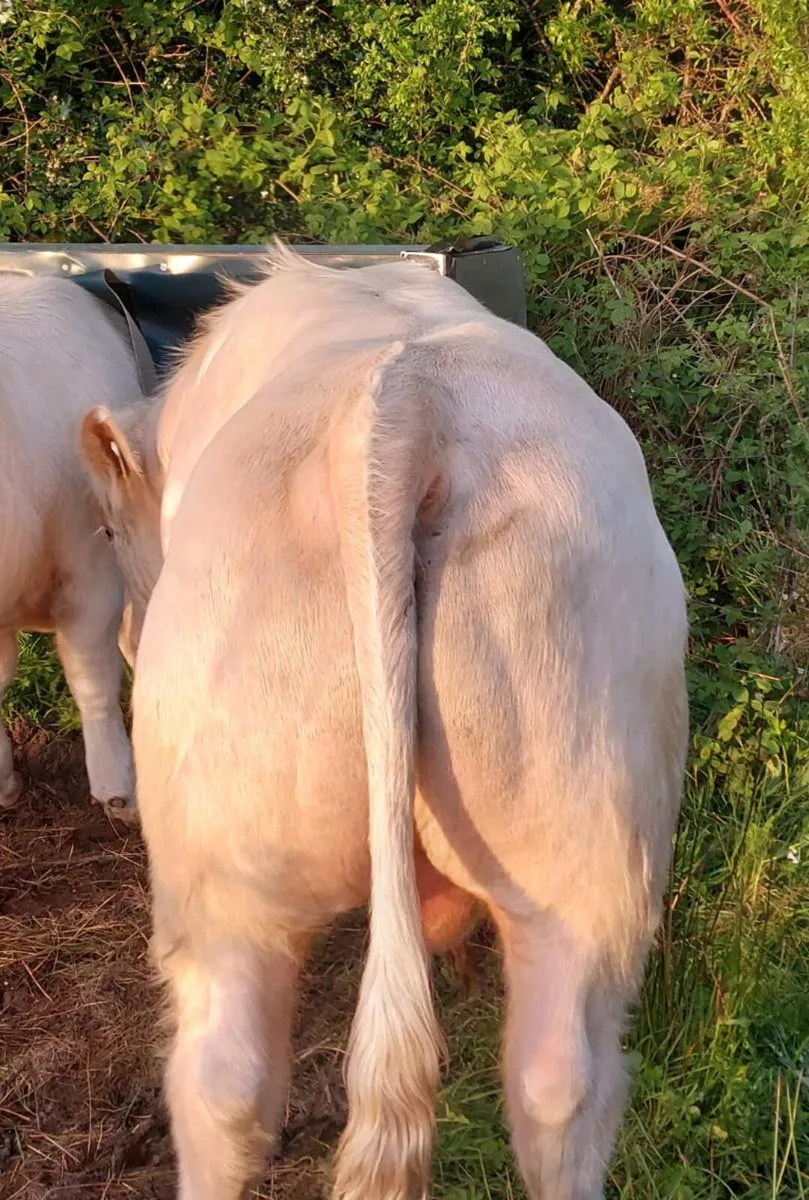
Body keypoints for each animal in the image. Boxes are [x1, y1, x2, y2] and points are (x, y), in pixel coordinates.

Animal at [80, 245, 688, 1200]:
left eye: (108, 527)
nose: (130, 639)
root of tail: (404, 408)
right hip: (589, 821)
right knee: (559, 1082)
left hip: (220, 870)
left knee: (222, 1084)